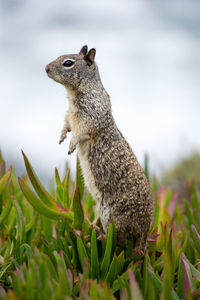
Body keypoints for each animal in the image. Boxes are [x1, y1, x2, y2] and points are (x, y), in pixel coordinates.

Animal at [45, 45, 152, 254]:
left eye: (68, 63)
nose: (46, 68)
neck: (74, 94)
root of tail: (145, 229)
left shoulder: (91, 117)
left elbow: (81, 132)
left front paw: (72, 144)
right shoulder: (70, 116)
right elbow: (66, 124)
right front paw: (62, 136)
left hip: (109, 212)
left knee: (120, 239)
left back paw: (100, 235)